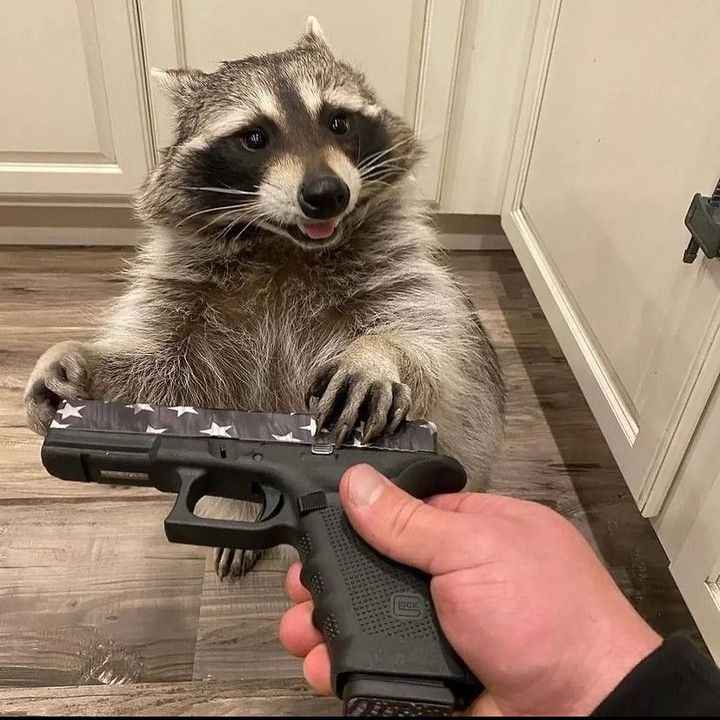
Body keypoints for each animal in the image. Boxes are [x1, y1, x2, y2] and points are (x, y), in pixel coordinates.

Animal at [24, 18, 505, 577]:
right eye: (254, 137)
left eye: (337, 122)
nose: (326, 194)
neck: (283, 246)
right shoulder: (182, 288)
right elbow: (167, 371)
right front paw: (80, 365)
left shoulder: (398, 266)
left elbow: (435, 342)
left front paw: (379, 353)